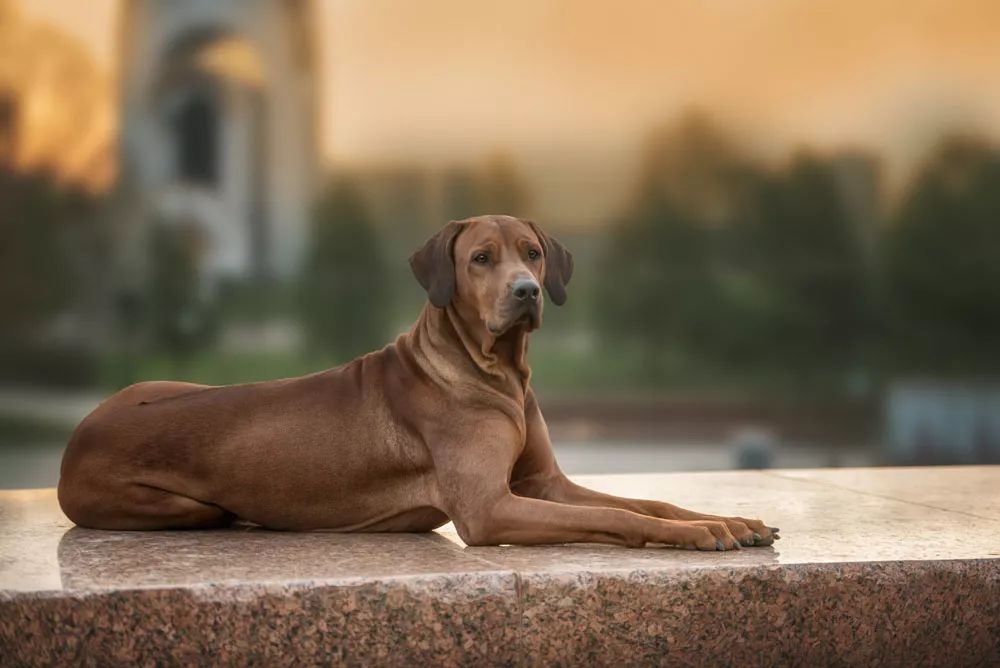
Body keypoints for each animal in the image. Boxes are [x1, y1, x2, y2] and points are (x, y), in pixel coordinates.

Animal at [58, 217, 776, 552]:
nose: (526, 291)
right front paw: (697, 535)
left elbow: (649, 502)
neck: (494, 371)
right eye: (480, 258)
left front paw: (730, 519)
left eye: (532, 253)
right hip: (182, 505)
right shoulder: (490, 508)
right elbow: (612, 516)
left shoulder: (543, 483)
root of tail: (79, 432)